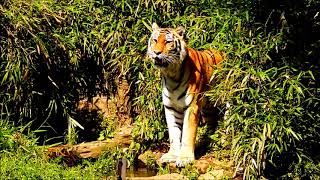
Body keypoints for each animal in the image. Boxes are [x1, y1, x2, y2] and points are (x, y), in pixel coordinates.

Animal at [146, 22, 224, 167]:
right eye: (155, 40)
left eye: (167, 42)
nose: (156, 53)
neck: (171, 75)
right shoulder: (170, 107)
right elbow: (173, 133)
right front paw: (172, 155)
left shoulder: (192, 107)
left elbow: (188, 133)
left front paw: (185, 158)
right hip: (208, 107)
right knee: (211, 122)